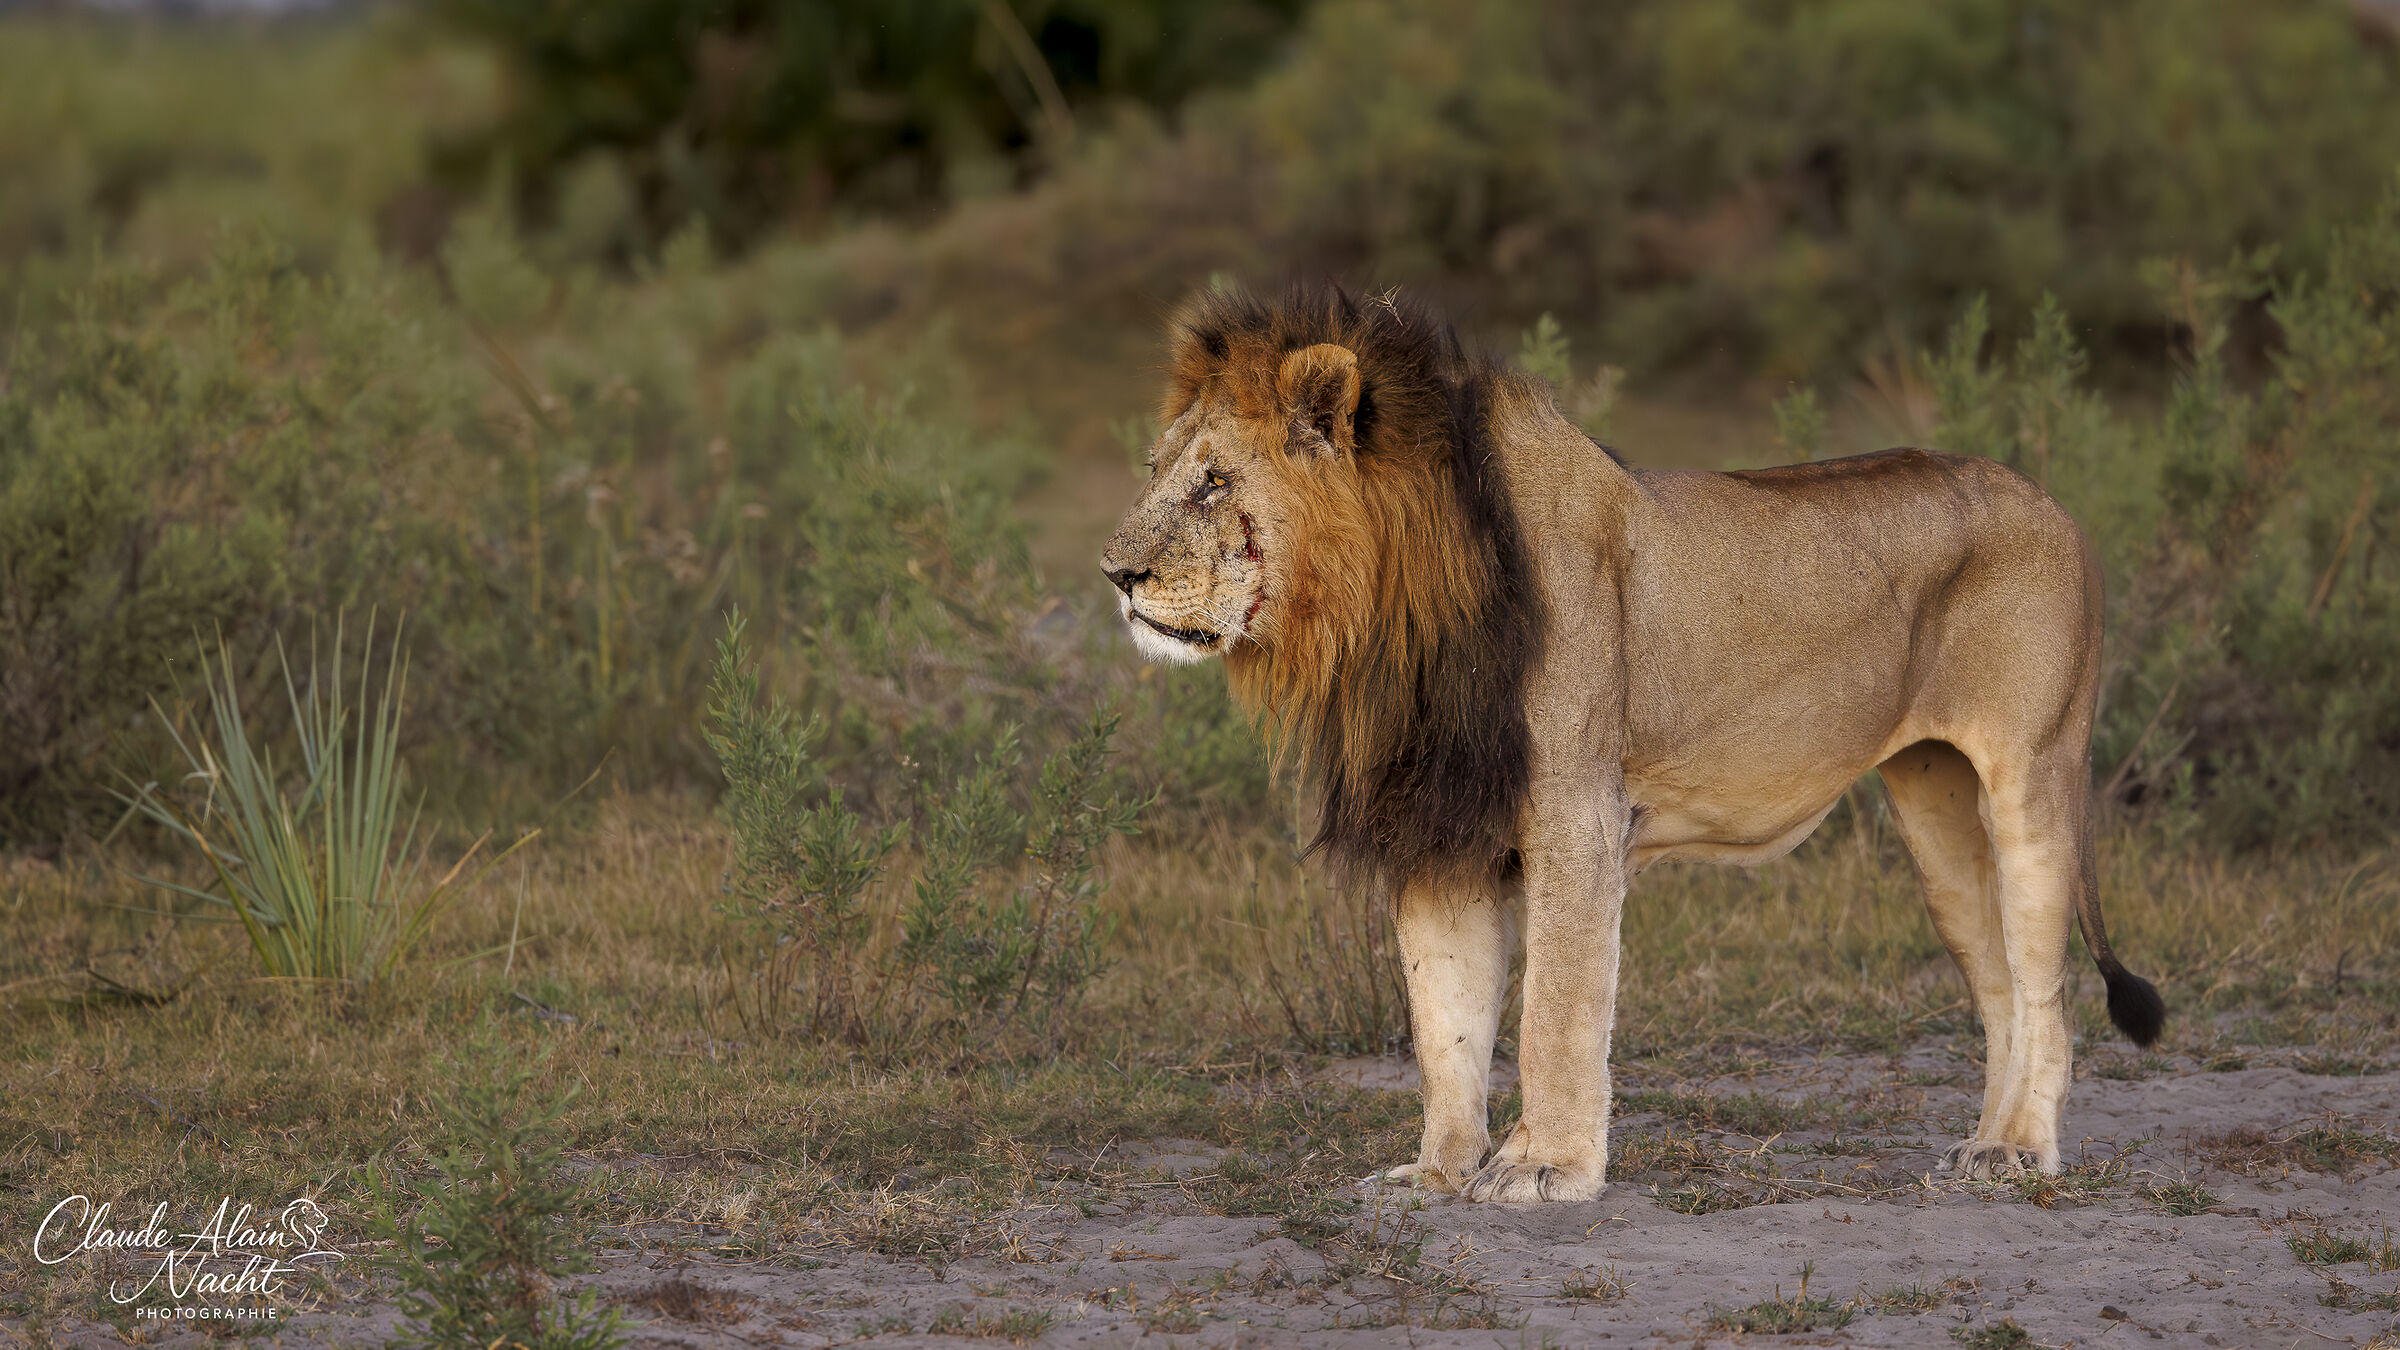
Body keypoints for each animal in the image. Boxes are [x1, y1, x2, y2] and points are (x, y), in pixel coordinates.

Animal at [1101, 283, 2164, 1203]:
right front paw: (1438, 1173)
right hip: (1936, 811)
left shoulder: (1576, 818)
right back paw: (1985, 1145)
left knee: (2047, 987)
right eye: (1157, 474)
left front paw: (1543, 1168)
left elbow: (1556, 1010)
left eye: (1214, 484)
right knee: (1998, 983)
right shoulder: (1441, 829)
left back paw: (2021, 1149)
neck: (1389, 620)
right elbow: (1445, 1022)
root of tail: (2057, 506)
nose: (1115, 574)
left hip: (2032, 780)